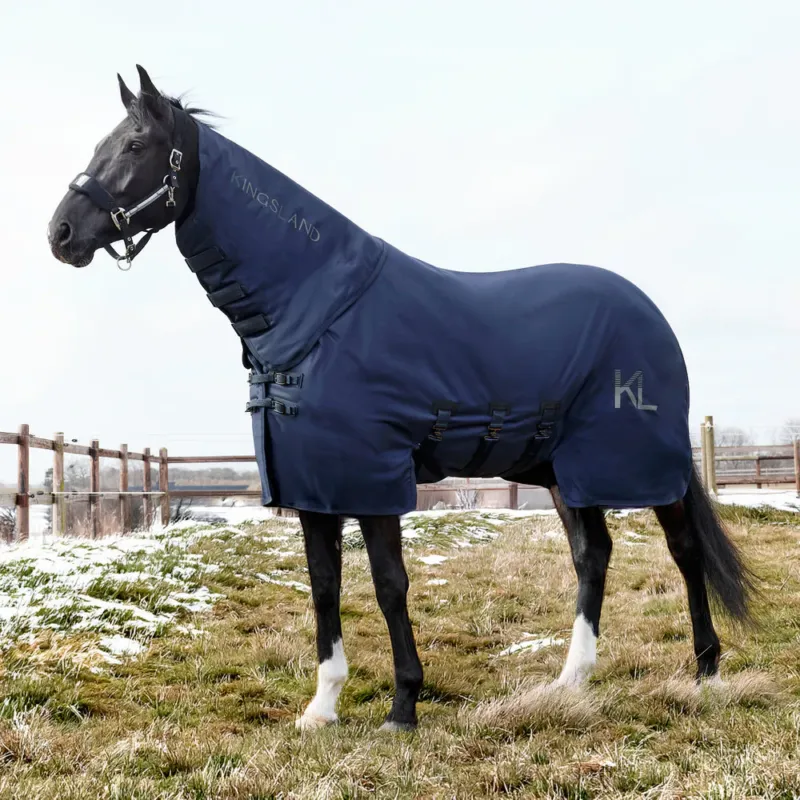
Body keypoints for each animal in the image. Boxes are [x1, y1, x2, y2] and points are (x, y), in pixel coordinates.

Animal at [47, 65, 755, 733]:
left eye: (136, 144)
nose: (60, 233)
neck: (316, 313)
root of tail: (651, 314)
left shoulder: (372, 479)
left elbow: (389, 585)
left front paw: (403, 706)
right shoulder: (315, 486)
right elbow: (324, 585)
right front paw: (323, 707)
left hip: (639, 464)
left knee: (685, 553)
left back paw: (706, 673)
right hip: (562, 471)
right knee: (592, 556)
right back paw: (571, 681)